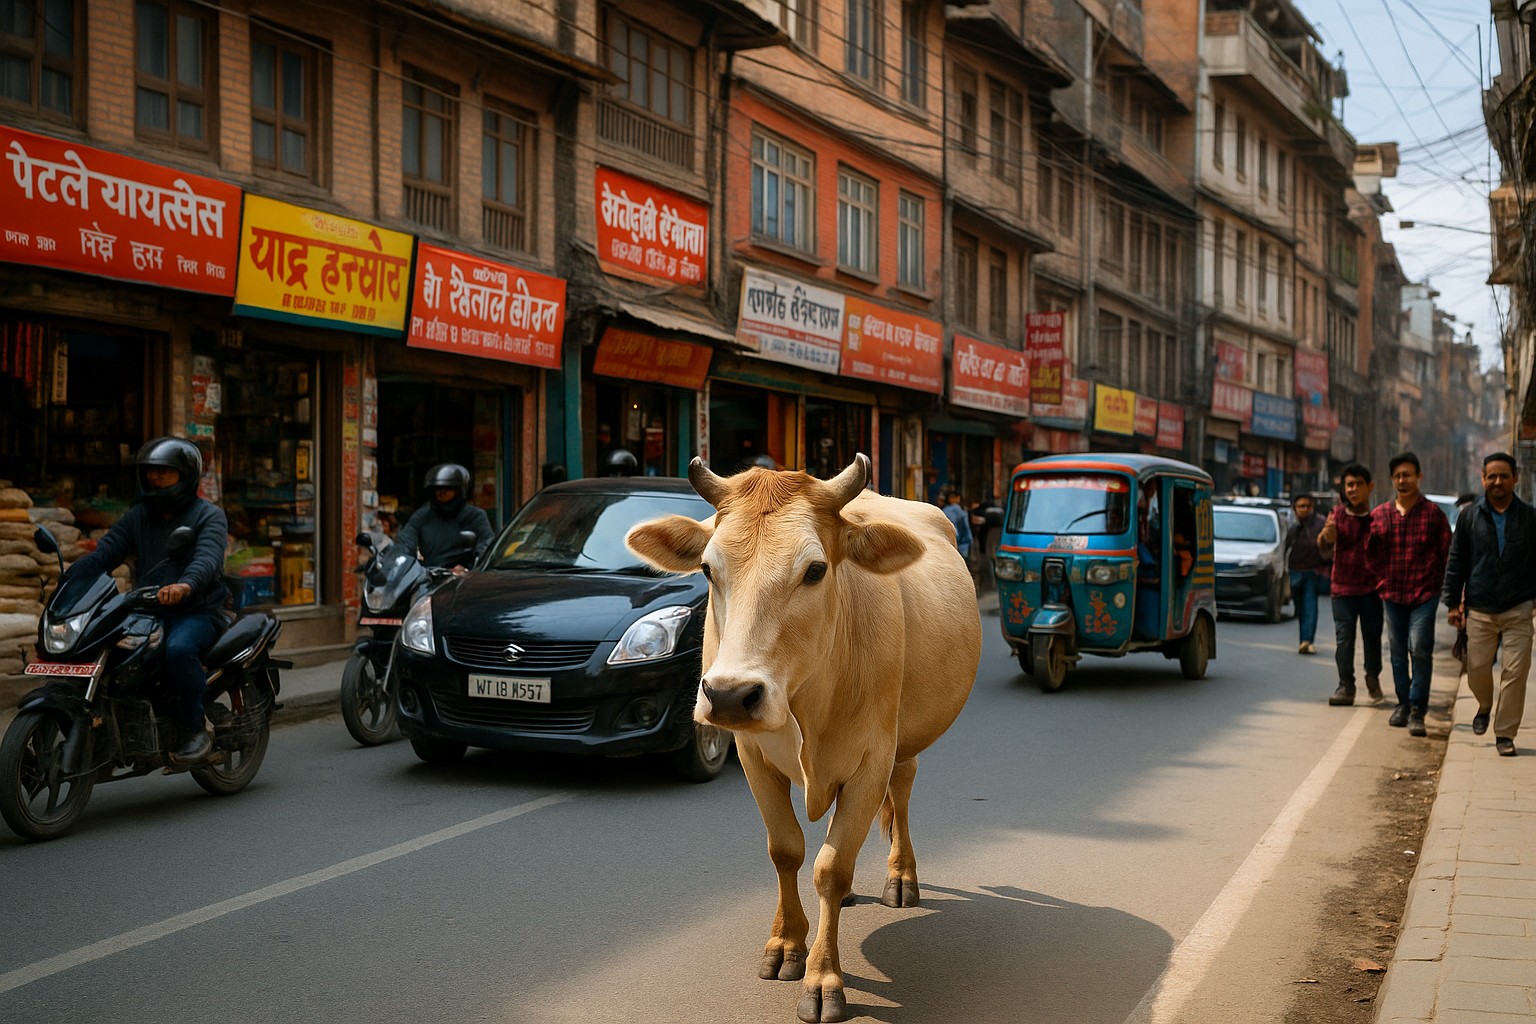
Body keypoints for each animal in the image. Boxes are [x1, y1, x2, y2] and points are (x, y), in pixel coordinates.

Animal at [626, 454, 981, 1023]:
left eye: (815, 570)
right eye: (707, 569)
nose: (729, 695)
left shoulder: (871, 761)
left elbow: (830, 868)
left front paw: (822, 978)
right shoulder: (751, 756)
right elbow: (787, 850)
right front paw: (787, 945)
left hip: (904, 744)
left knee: (901, 795)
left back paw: (901, 877)